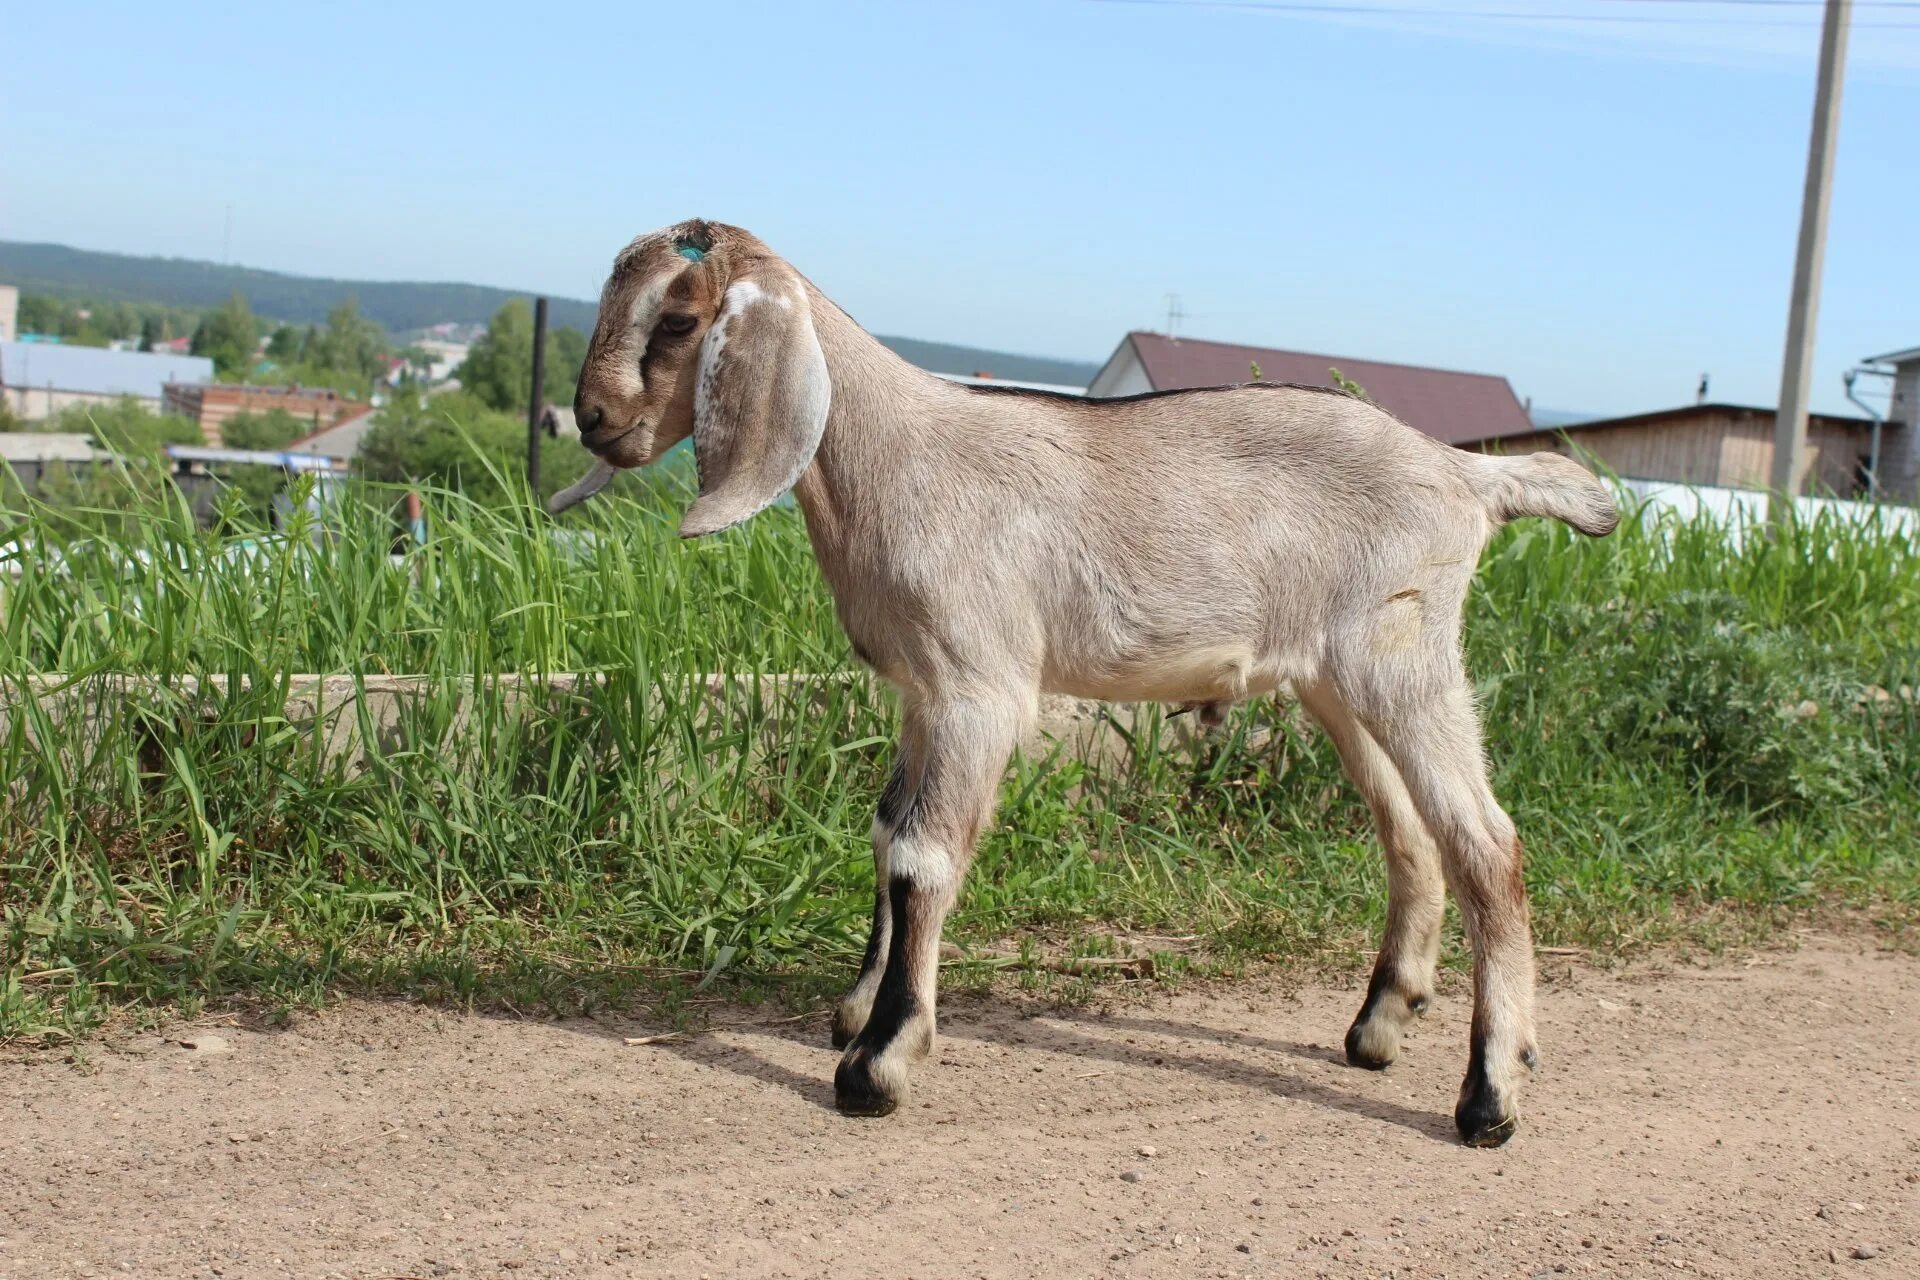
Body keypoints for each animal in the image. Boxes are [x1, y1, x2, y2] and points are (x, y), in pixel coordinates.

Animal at [560, 214, 1620, 1143]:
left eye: (681, 319)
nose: (592, 419)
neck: (898, 456)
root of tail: (1472, 478)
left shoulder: (979, 685)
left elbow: (922, 859)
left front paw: (880, 1063)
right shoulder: (919, 690)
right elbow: (885, 833)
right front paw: (858, 1008)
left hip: (1403, 653)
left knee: (1487, 843)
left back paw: (1489, 1098)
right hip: (1336, 679)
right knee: (1411, 834)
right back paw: (1381, 1024)